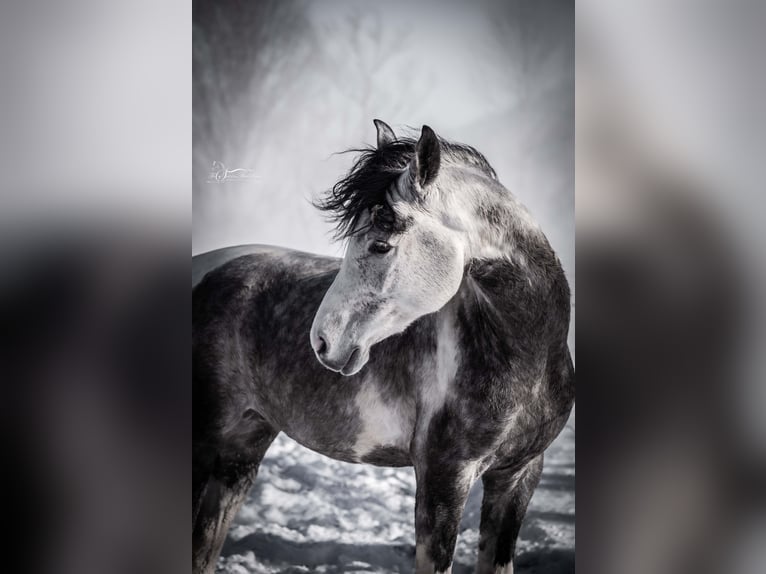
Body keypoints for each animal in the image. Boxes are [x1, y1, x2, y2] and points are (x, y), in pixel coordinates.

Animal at [192, 120, 575, 574]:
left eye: (380, 244)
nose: (322, 341)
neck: (529, 358)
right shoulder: (444, 477)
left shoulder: (519, 475)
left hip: (243, 446)